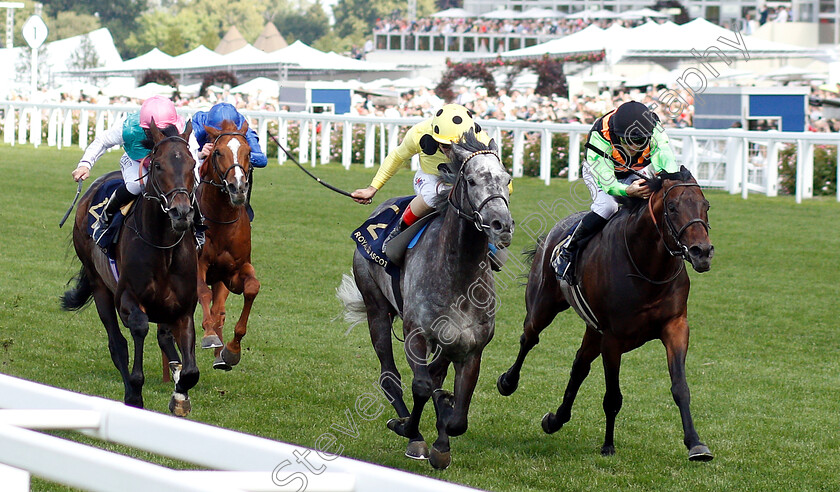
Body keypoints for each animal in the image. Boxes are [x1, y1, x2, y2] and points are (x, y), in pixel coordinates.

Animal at [61, 119, 199, 416]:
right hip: (99, 286)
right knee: (117, 344)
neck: (164, 248)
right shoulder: (127, 298)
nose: (181, 213)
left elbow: (190, 370)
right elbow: (138, 326)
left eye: (193, 164)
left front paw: (180, 395)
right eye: (158, 165)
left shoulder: (183, 308)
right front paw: (136, 388)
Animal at [194, 119, 258, 370]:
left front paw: (231, 350)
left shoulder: (233, 272)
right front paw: (209, 335)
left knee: (218, 309)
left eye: (248, 152)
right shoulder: (198, 264)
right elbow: (202, 291)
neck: (220, 220)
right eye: (218, 151)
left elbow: (251, 288)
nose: (237, 188)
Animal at [336, 131, 512, 468]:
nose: (502, 225)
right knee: (390, 376)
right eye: (471, 180)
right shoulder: (416, 334)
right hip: (376, 308)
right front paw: (409, 430)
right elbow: (420, 386)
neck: (459, 276)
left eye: (506, 179)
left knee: (435, 377)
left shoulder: (470, 348)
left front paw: (443, 440)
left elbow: (458, 417)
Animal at [496, 166, 720, 462]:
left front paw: (695, 443)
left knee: (579, 365)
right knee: (529, 338)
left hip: (593, 330)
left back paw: (555, 419)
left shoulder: (675, 326)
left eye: (705, 205)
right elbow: (613, 396)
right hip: (543, 306)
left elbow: (680, 387)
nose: (702, 252)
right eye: (672, 207)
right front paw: (608, 445)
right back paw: (508, 382)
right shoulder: (613, 339)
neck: (647, 268)